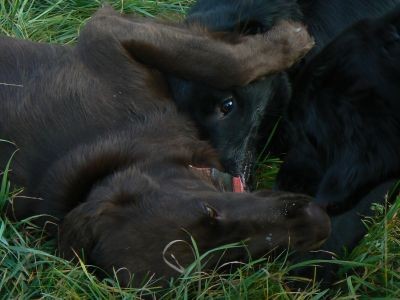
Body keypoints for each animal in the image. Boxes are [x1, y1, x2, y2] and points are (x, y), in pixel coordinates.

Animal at [0, 5, 328, 286]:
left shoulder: (106, 30)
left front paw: (290, 40)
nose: (318, 223)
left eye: (209, 210)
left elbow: (221, 62)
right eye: (223, 263)